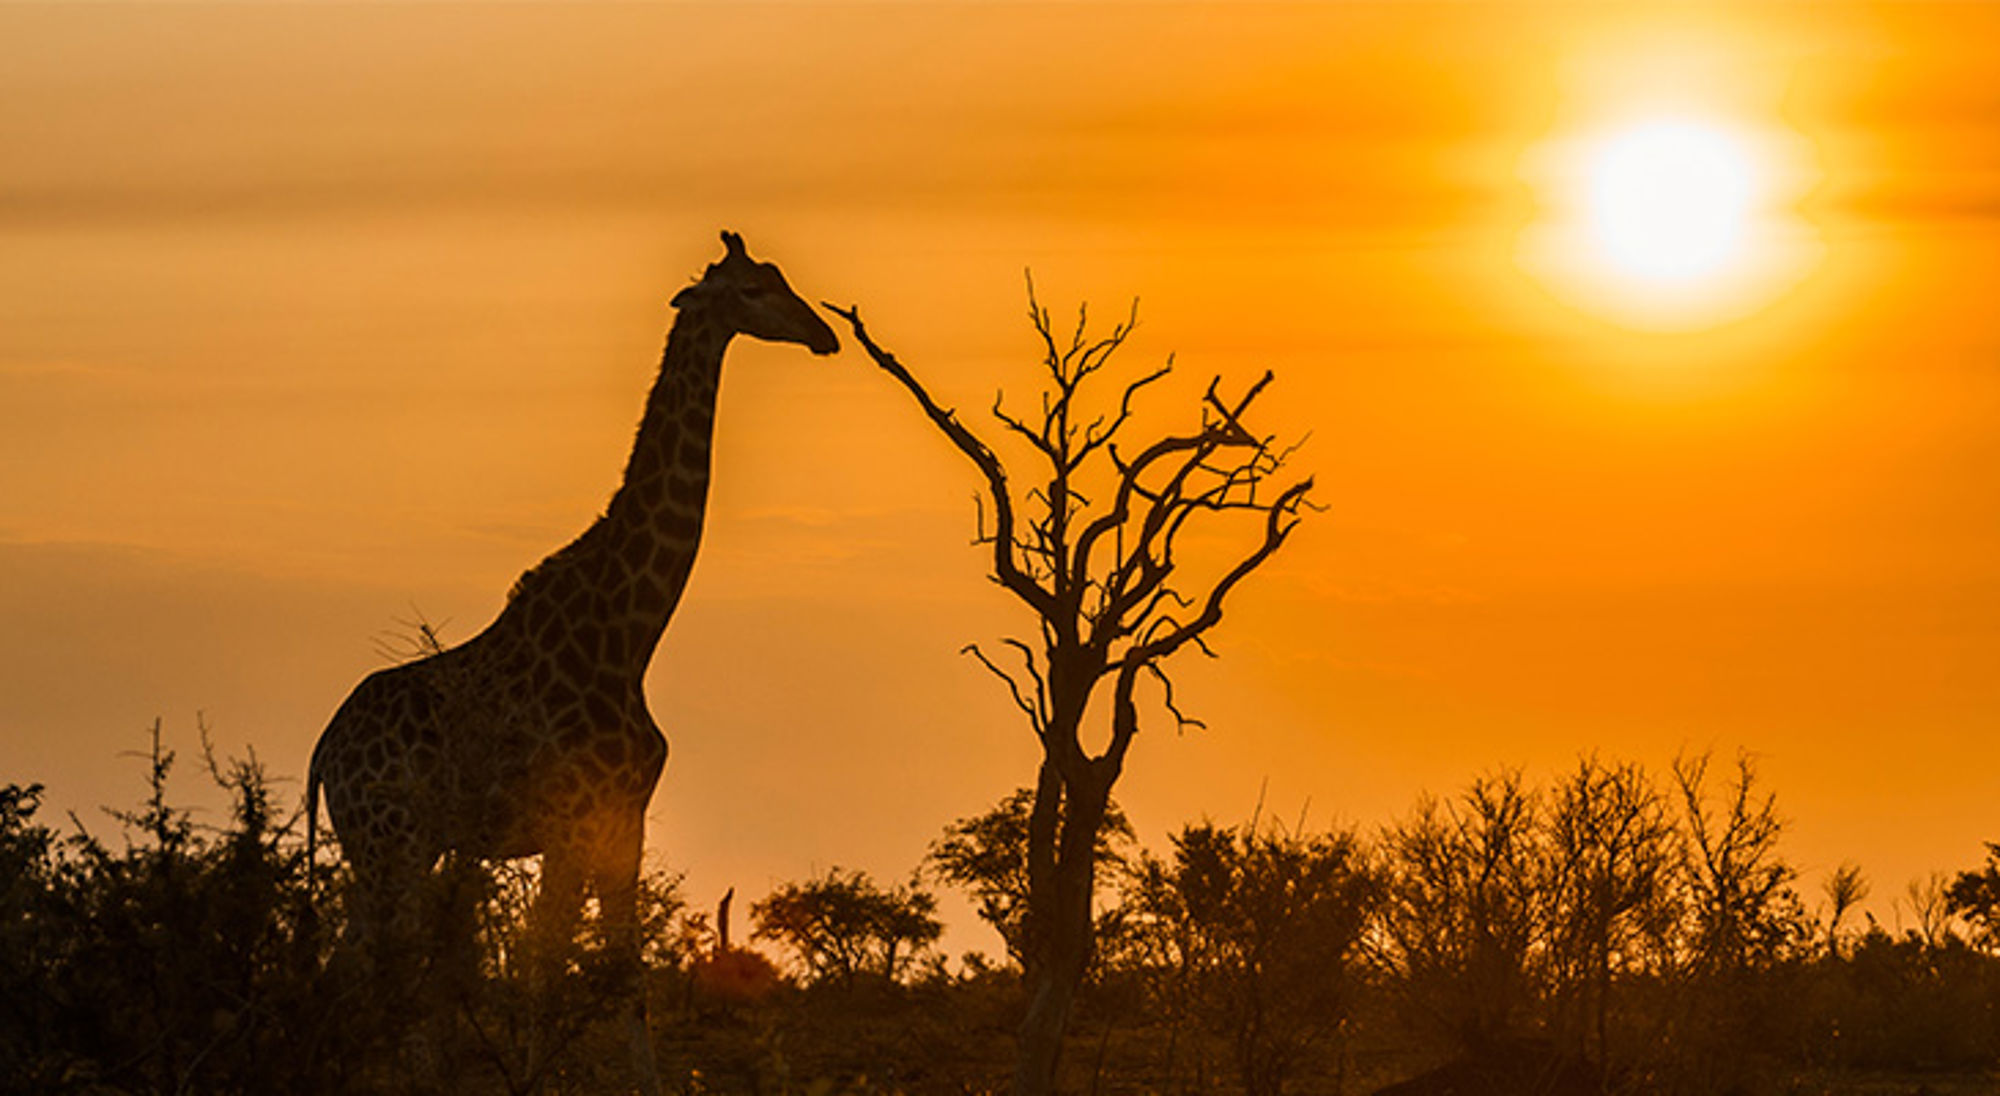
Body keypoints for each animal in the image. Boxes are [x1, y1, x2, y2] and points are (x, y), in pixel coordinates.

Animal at [306, 231, 837, 1093]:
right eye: (754, 291)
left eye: (780, 276)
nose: (824, 334)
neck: (630, 632)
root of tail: (324, 749)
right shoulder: (566, 818)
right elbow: (545, 967)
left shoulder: (626, 814)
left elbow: (623, 972)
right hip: (395, 844)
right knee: (388, 973)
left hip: (381, 850)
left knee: (344, 971)